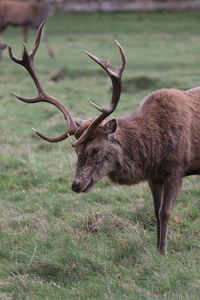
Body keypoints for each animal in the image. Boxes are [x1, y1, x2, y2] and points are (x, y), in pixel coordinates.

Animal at [8, 24, 200, 253]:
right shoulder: (153, 176)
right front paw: (156, 248)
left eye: (95, 149)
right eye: (75, 150)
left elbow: (165, 212)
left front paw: (163, 251)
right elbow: (155, 211)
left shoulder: (176, 170)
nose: (75, 185)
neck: (154, 147)